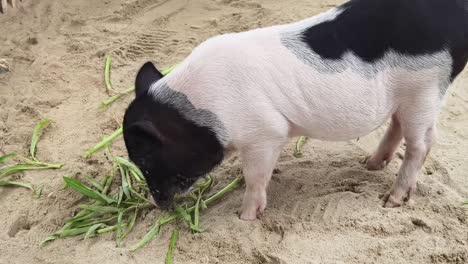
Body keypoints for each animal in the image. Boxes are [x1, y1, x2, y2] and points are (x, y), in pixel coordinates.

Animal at [121, 0, 468, 220]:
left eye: (146, 160)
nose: (157, 204)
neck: (206, 110)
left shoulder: (265, 132)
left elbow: (255, 176)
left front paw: (245, 217)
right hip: (407, 98)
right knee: (397, 127)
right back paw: (369, 165)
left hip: (425, 90)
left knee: (422, 143)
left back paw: (392, 200)